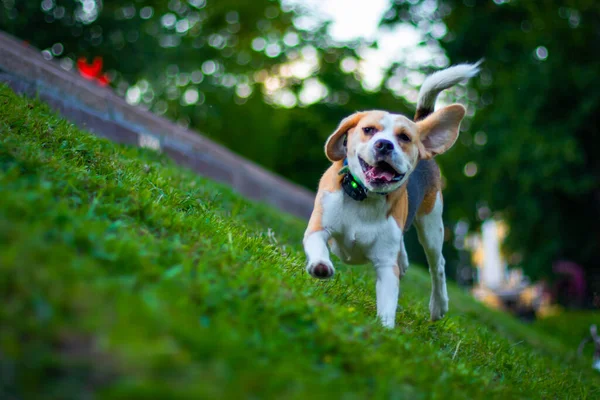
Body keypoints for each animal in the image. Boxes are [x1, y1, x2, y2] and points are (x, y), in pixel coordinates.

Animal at [302, 63, 480, 328]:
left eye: (404, 137)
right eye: (368, 130)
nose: (384, 144)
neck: (365, 197)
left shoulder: (386, 264)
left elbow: (388, 302)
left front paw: (384, 329)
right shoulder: (318, 227)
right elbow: (318, 245)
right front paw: (321, 265)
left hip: (431, 225)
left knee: (437, 266)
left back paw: (438, 305)